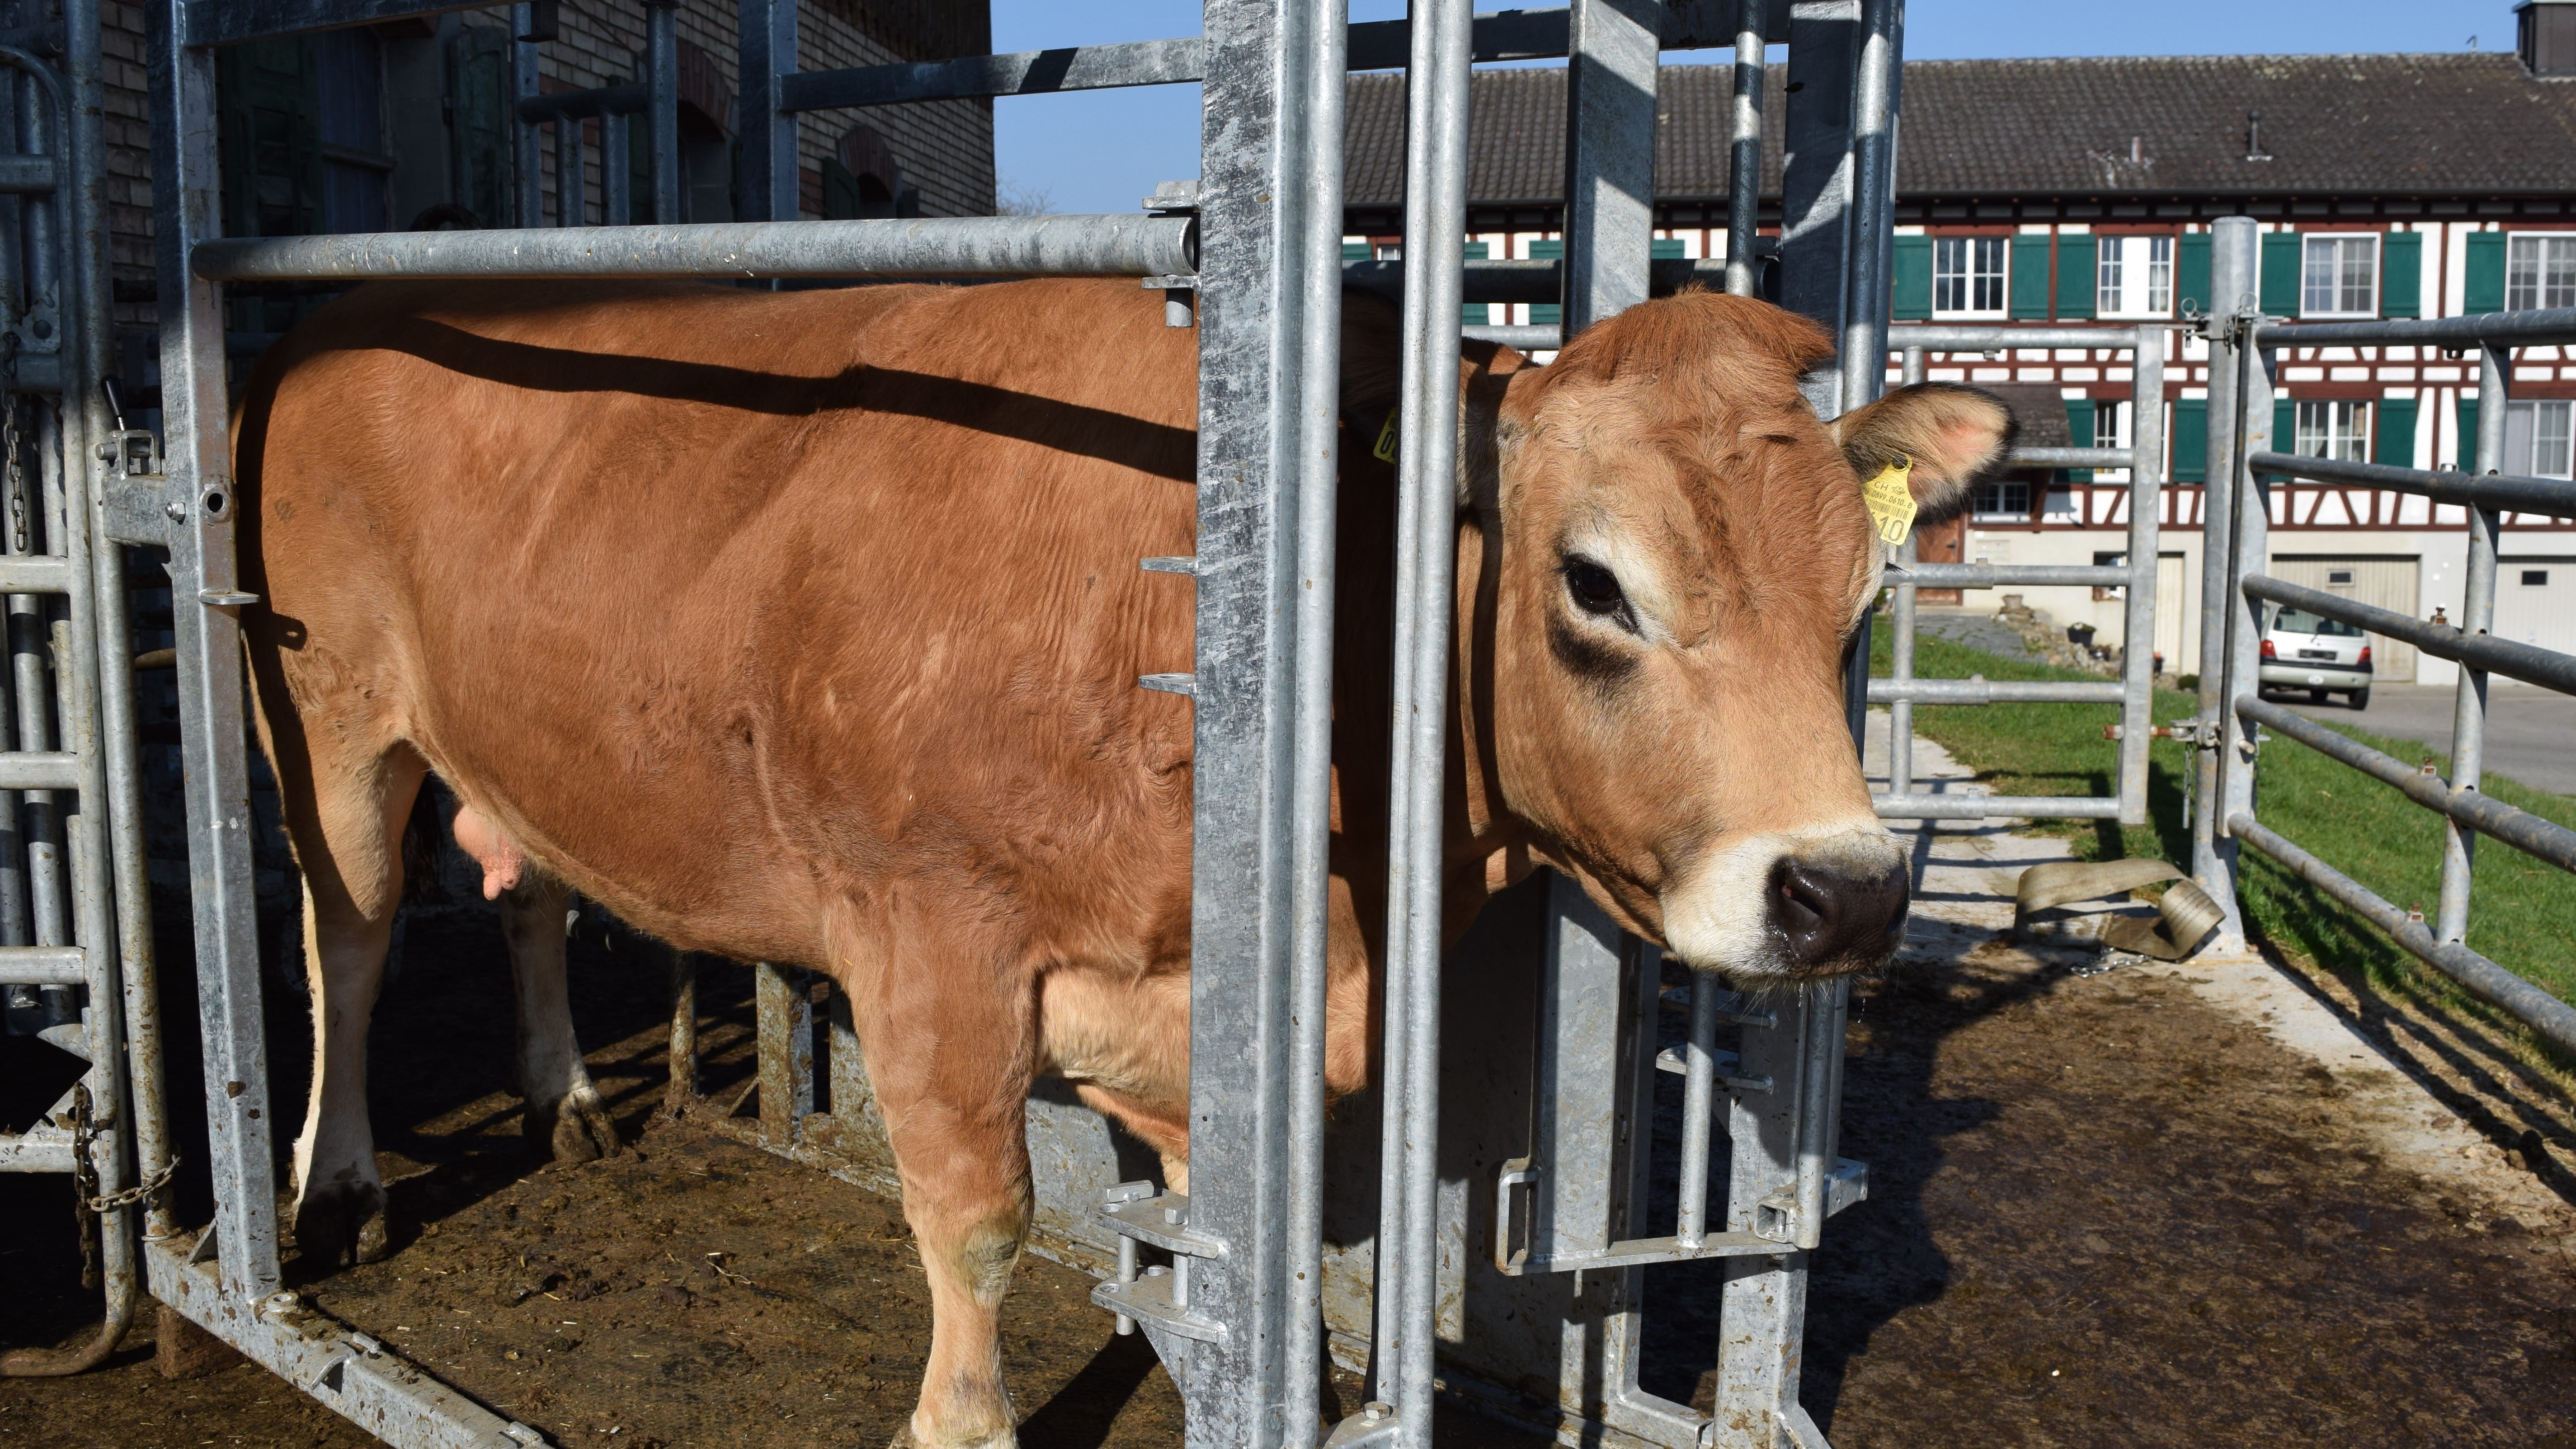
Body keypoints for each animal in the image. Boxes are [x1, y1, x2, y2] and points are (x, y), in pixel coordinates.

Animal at [237, 275, 2009, 1449]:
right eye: (1593, 582)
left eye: (1866, 597)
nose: (1847, 890)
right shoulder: (931, 930)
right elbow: (979, 1223)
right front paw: (960, 1424)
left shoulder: (1206, 1000)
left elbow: (1231, 1231)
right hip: (328, 718)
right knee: (351, 936)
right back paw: (331, 1189)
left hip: (504, 732)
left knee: (527, 887)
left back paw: (565, 1098)